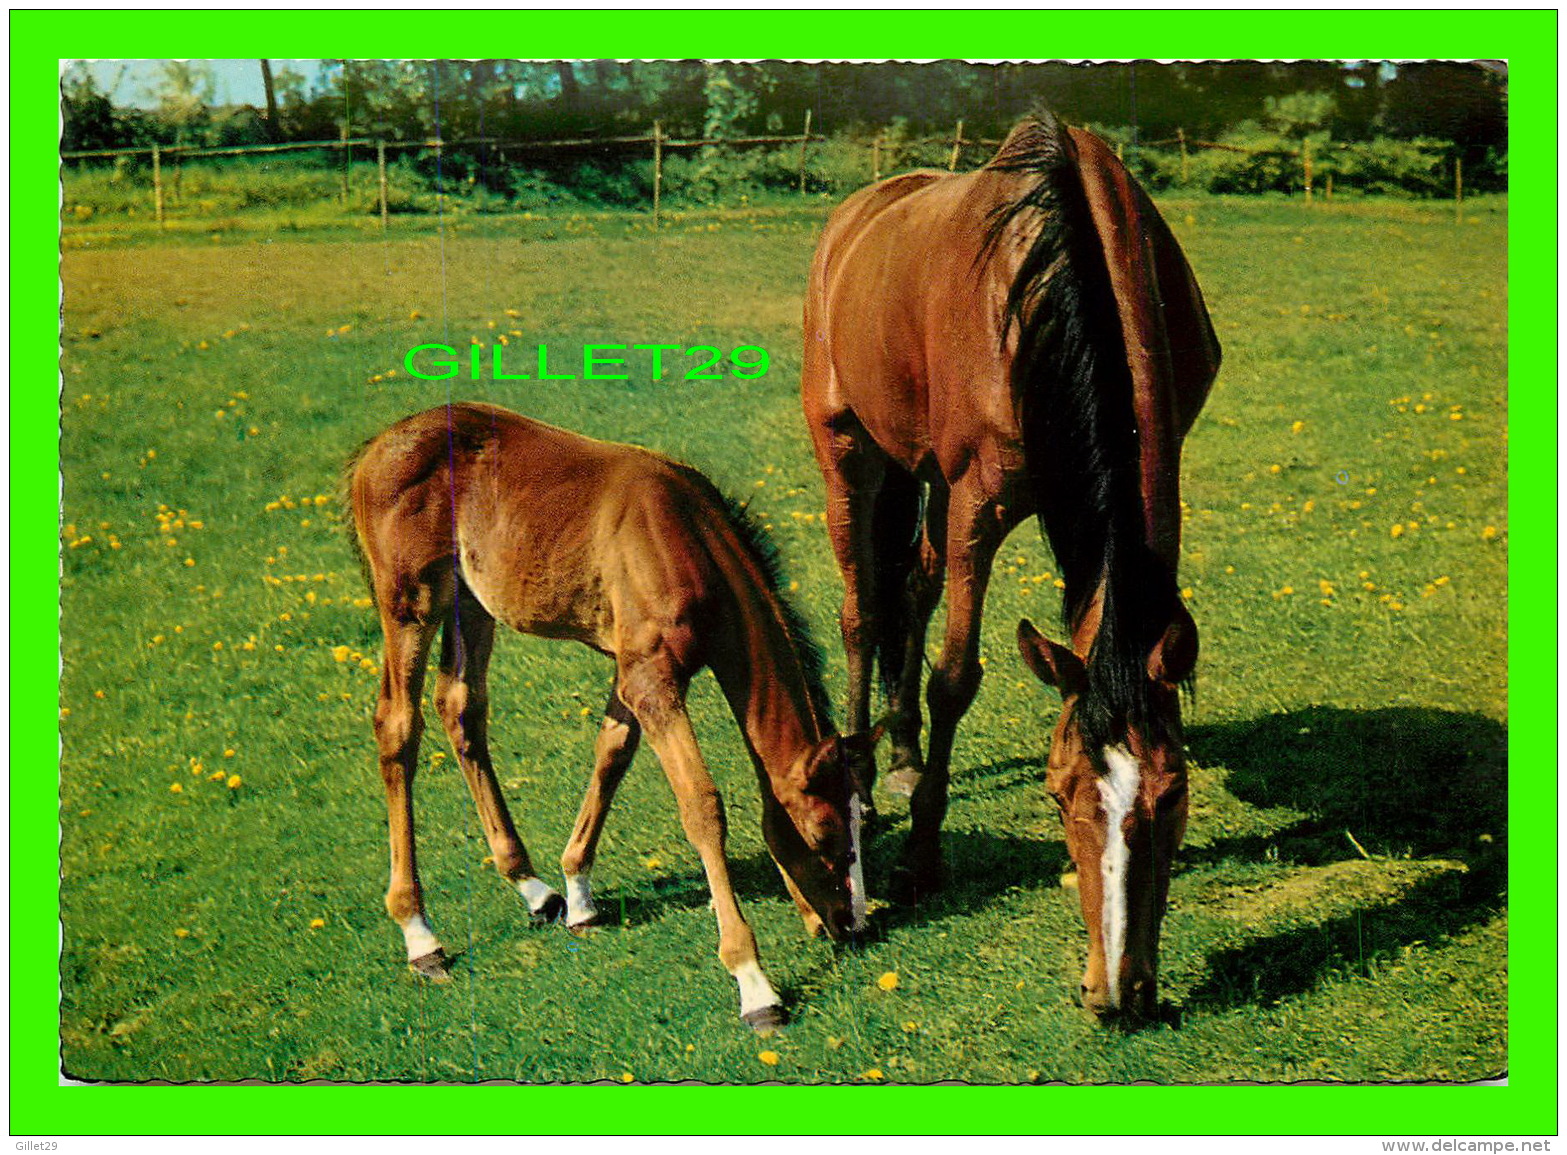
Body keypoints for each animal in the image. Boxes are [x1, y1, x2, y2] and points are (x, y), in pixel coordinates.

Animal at [347, 404, 877, 1028]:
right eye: (825, 834)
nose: (851, 924)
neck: (684, 536)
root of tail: (376, 448)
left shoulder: (635, 669)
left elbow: (612, 754)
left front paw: (578, 892)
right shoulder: (652, 680)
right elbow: (702, 807)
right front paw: (754, 984)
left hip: (471, 604)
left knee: (460, 708)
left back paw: (533, 888)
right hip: (410, 602)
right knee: (398, 726)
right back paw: (420, 935)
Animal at [802, 112, 1215, 1015]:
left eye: (1173, 794)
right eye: (1058, 791)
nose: (1117, 989)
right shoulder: (978, 505)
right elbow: (954, 676)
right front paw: (920, 860)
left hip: (917, 465)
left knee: (911, 585)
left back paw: (902, 757)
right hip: (848, 450)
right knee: (862, 609)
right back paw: (861, 780)